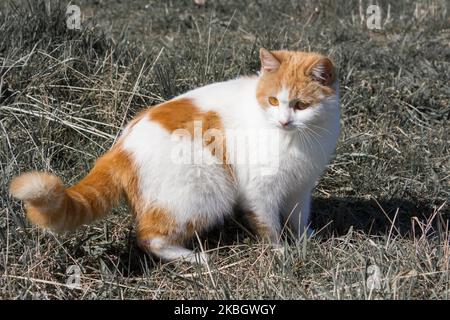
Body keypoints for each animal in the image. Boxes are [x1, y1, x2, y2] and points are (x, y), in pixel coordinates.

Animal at [8, 48, 340, 264]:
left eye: (300, 105)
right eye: (272, 101)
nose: (284, 121)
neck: (296, 138)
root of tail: (119, 149)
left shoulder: (300, 186)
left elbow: (299, 217)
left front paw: (305, 240)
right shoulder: (259, 190)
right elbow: (268, 225)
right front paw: (280, 252)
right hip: (206, 192)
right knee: (149, 237)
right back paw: (193, 259)